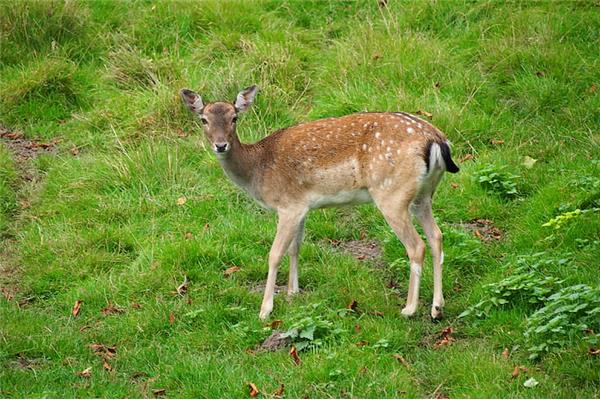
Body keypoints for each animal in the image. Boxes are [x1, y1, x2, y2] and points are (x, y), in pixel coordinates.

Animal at [179, 85, 460, 322]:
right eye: (204, 119)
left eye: (234, 117)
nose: (220, 145)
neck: (258, 170)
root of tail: (437, 141)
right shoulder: (301, 206)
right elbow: (295, 248)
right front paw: (293, 292)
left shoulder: (287, 206)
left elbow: (274, 254)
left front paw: (265, 310)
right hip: (423, 195)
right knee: (436, 236)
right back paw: (437, 308)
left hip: (391, 194)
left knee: (416, 245)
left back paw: (409, 308)